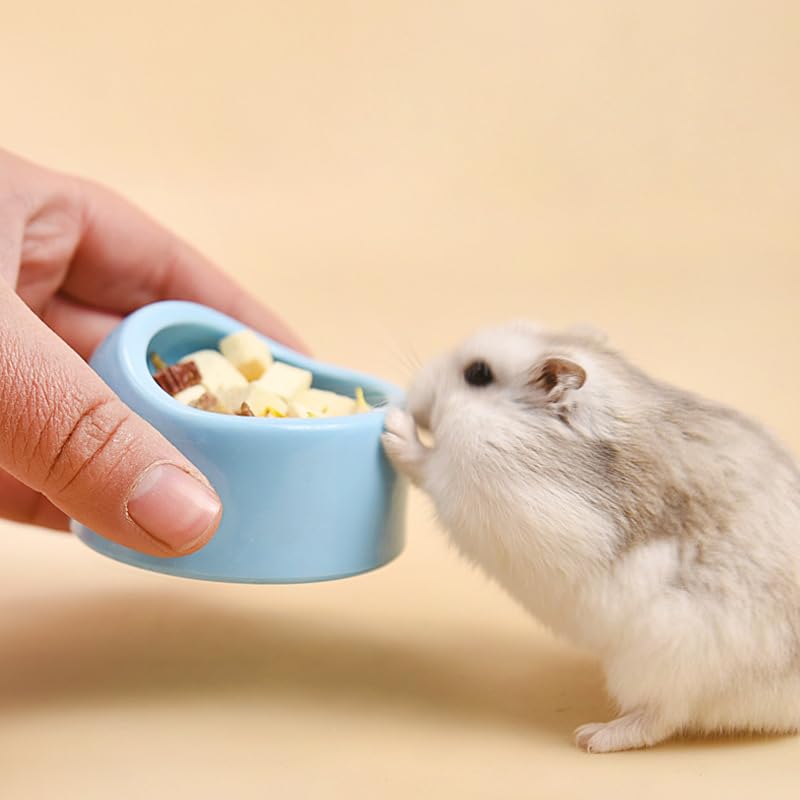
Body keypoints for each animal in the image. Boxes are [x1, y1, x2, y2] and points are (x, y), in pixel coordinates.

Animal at [382, 321, 800, 753]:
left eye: (478, 374)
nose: (411, 396)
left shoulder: (477, 481)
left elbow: (429, 465)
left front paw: (396, 426)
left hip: (665, 657)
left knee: (662, 718)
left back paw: (594, 737)